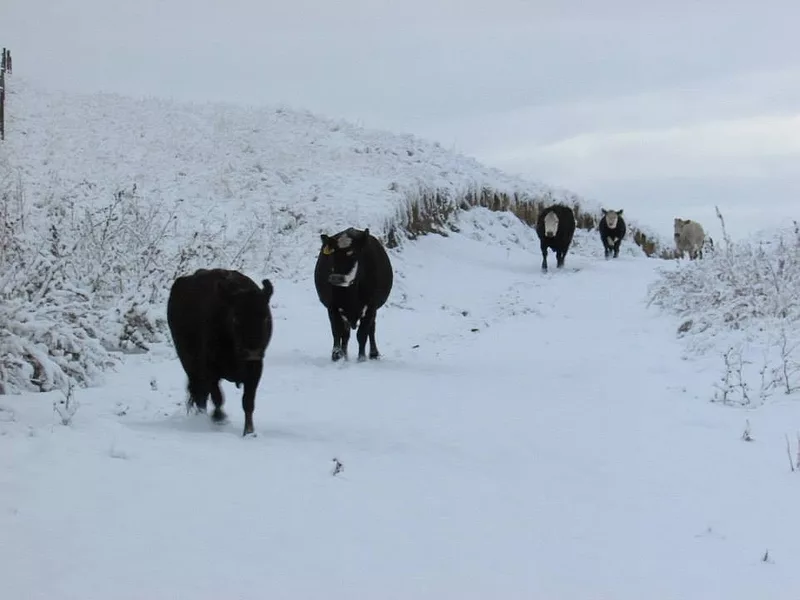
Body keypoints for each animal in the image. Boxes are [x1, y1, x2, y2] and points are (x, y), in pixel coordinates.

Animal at [166, 268, 274, 436]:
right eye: (236, 318)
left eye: (265, 318)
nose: (252, 352)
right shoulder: (210, 369)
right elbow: (218, 397)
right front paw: (219, 419)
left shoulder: (255, 369)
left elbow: (248, 402)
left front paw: (249, 432)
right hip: (189, 363)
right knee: (200, 394)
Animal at [314, 227, 393, 362]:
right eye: (333, 255)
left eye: (353, 253)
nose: (336, 278)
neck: (350, 295)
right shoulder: (332, 306)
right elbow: (337, 331)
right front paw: (336, 355)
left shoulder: (371, 306)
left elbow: (362, 334)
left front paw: (361, 358)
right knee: (346, 334)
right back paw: (344, 355)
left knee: (371, 329)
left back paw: (373, 354)